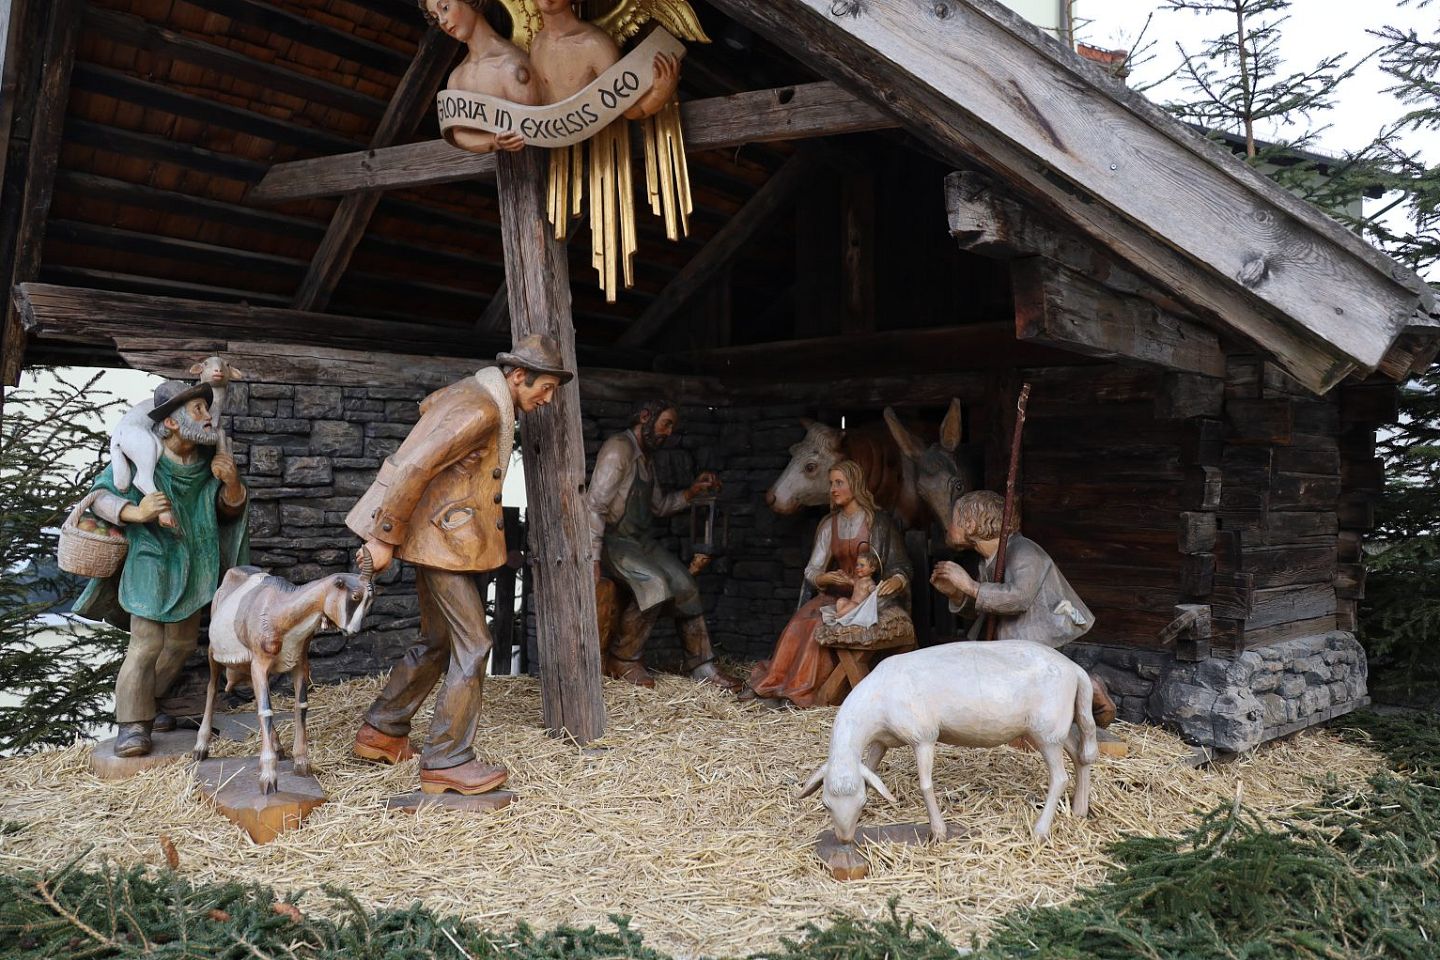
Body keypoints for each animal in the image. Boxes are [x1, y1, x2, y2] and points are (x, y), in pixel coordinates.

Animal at [194, 552, 374, 794]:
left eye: (370, 601)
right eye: (355, 596)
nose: (353, 631)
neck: (280, 609)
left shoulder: (300, 664)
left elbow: (301, 706)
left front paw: (301, 762)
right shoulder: (260, 663)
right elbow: (265, 711)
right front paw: (268, 777)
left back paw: (278, 746)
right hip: (214, 653)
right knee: (212, 689)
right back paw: (201, 748)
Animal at [800, 644, 1100, 840]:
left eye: (860, 802)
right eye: (826, 804)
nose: (844, 839)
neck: (876, 703)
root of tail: (1076, 670)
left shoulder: (923, 737)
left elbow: (925, 785)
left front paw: (939, 832)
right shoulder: (882, 741)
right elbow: (871, 770)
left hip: (1047, 732)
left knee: (1059, 777)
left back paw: (1040, 830)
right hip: (1054, 729)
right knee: (1081, 755)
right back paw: (1079, 810)